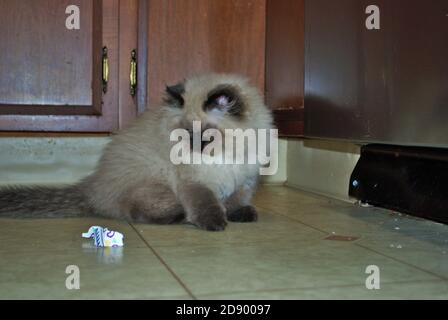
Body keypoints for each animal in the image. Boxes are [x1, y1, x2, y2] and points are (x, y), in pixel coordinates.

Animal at [0, 74, 272, 231]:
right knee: (138, 213)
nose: (192, 146)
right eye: (184, 133)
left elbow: (235, 201)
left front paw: (239, 214)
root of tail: (91, 187)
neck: (226, 154)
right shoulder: (195, 183)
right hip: (157, 188)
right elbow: (207, 204)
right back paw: (180, 217)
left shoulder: (244, 181)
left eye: (205, 134)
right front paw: (216, 223)